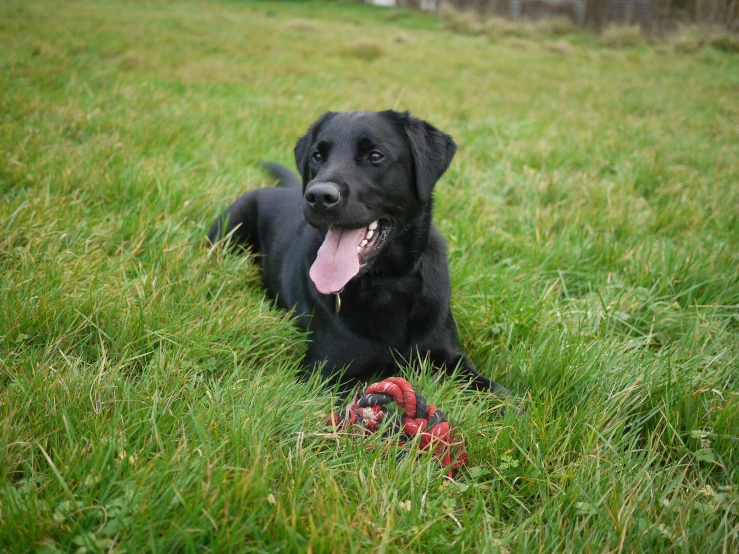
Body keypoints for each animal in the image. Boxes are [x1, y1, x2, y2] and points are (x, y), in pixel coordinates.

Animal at [208, 109, 508, 392]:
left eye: (375, 155)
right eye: (318, 155)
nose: (319, 196)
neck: (387, 284)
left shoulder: (449, 356)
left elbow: (498, 393)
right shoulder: (324, 373)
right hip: (231, 224)